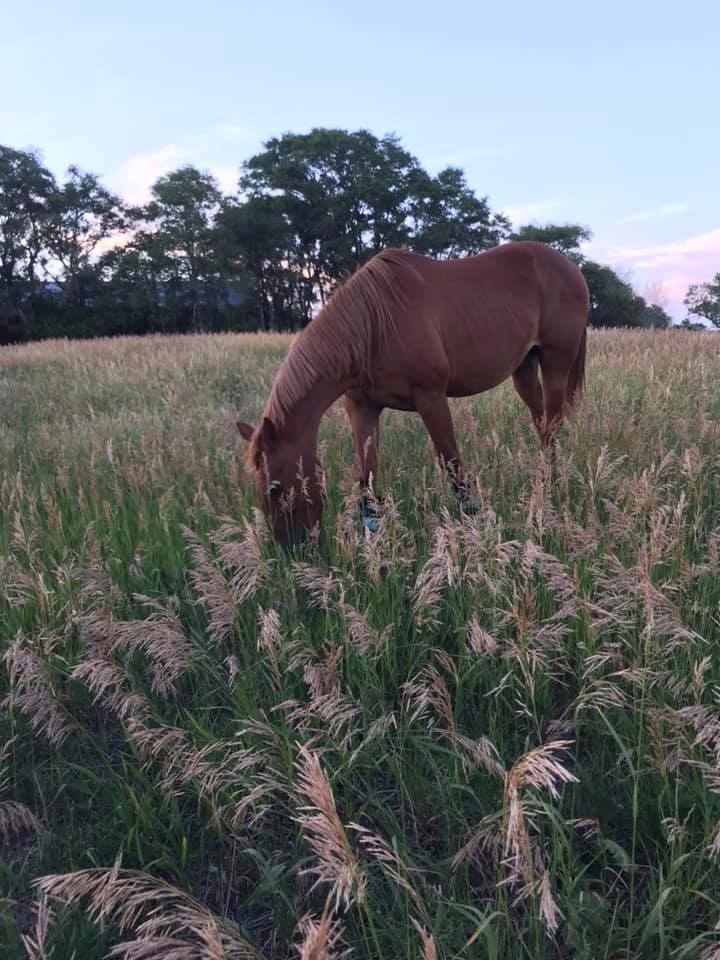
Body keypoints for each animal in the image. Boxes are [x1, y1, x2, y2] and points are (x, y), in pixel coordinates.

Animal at [239, 240, 588, 548]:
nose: (292, 549)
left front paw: (475, 524)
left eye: (275, 488)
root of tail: (570, 267)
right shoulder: (362, 407)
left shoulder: (431, 399)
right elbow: (367, 477)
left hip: (555, 363)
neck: (373, 325)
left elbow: (453, 467)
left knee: (552, 423)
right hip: (524, 368)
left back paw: (548, 487)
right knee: (542, 424)